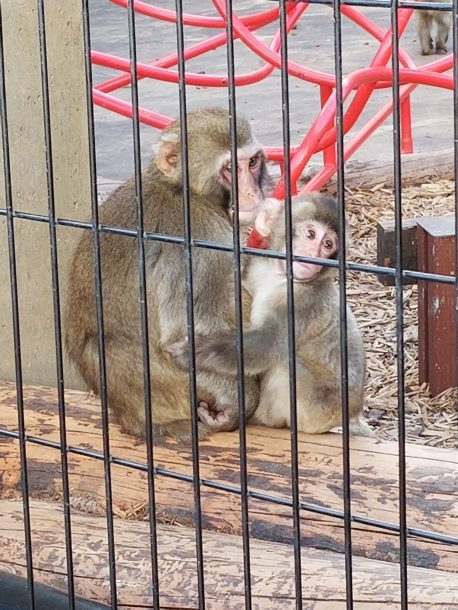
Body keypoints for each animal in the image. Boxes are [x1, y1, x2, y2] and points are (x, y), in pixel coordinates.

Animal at [66, 109, 270, 440]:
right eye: (230, 168)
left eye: (252, 162)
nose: (253, 192)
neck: (183, 190)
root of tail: (129, 418)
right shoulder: (201, 234)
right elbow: (186, 336)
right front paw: (239, 405)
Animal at [171, 192, 372, 434]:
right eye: (311, 234)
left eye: (327, 245)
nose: (314, 256)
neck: (281, 278)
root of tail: (352, 412)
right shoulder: (259, 265)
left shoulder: (303, 303)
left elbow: (266, 344)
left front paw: (195, 352)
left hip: (317, 410)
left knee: (284, 365)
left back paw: (257, 419)